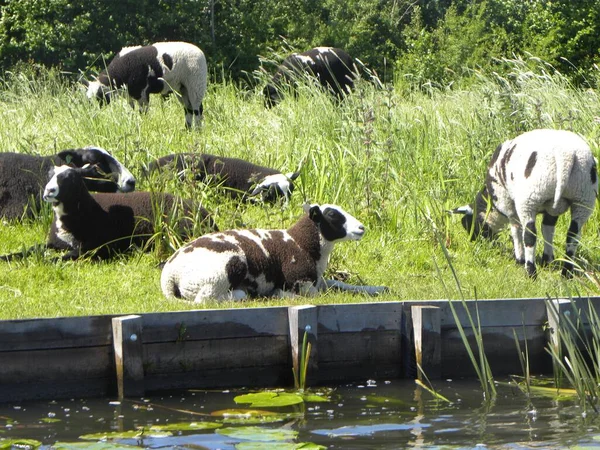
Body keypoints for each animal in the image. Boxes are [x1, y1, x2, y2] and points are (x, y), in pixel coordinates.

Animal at [0, 165, 216, 260]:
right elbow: (25, 251)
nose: (49, 191)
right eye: (50, 175)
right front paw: (7, 258)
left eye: (69, 178)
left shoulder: (89, 248)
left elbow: (55, 259)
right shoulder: (53, 243)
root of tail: (206, 213)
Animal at [159, 203, 384, 302]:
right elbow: (314, 295)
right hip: (220, 272)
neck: (302, 243)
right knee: (205, 299)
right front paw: (279, 293)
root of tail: (169, 275)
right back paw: (245, 294)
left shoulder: (318, 280)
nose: (361, 228)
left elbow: (340, 284)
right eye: (332, 215)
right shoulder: (302, 282)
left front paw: (377, 289)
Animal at [452, 127, 596, 278]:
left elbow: (516, 230)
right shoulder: (551, 211)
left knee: (530, 235)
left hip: (529, 199)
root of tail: (566, 156)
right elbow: (548, 230)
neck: (492, 204)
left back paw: (530, 271)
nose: (474, 243)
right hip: (583, 198)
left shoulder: (508, 204)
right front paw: (547, 261)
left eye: (469, 224)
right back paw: (566, 272)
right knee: (572, 235)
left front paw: (519, 259)